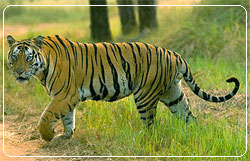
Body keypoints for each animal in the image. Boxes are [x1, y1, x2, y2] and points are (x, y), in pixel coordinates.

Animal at [6, 35, 239, 141]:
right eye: (14, 57)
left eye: (28, 58)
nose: (19, 73)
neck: (43, 66)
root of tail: (174, 54)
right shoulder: (66, 98)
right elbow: (68, 118)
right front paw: (66, 137)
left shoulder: (64, 95)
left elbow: (46, 116)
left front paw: (48, 136)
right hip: (173, 95)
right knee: (190, 118)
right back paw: (194, 136)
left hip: (145, 96)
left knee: (151, 125)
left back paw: (143, 139)